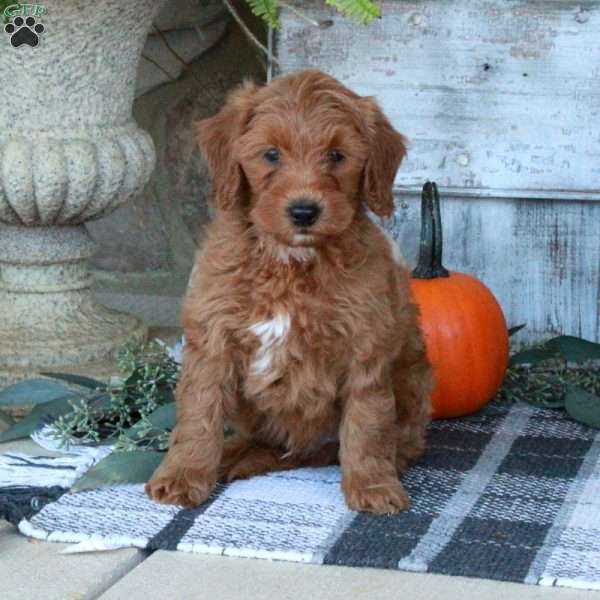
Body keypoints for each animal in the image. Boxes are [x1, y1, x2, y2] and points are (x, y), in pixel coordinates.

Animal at [148, 69, 434, 510]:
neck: (290, 262)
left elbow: (367, 424)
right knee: (268, 443)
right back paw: (234, 455)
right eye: (271, 155)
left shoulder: (364, 344)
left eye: (336, 155)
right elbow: (199, 414)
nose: (303, 211)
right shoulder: (213, 339)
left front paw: (372, 485)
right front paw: (182, 475)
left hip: (411, 379)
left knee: (386, 442)